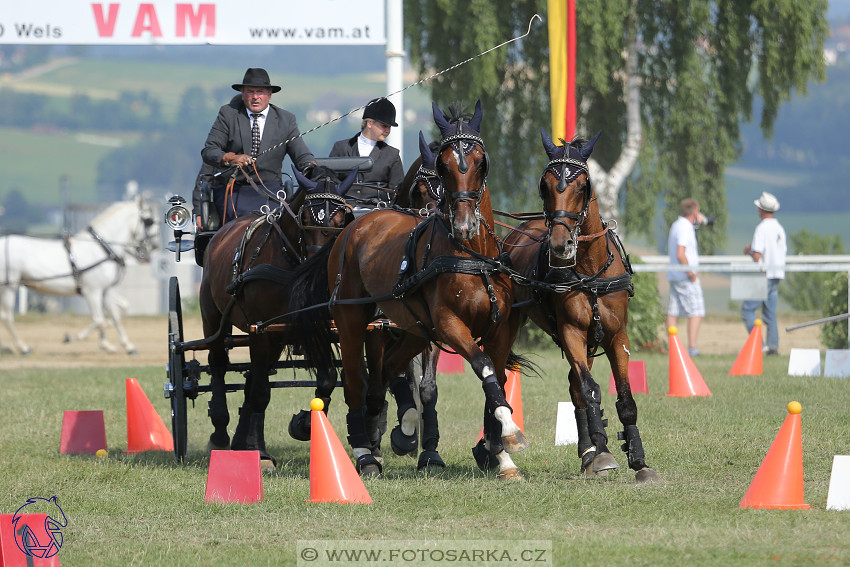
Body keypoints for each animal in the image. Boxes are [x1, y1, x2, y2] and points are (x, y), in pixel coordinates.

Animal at [0, 195, 158, 356]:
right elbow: (99, 319)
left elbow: (116, 315)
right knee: (7, 317)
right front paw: (71, 337)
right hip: (9, 287)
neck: (101, 249)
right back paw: (23, 347)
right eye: (149, 221)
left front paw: (124, 345)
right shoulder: (92, 291)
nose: (155, 246)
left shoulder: (105, 291)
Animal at [199, 166, 354, 468]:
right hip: (214, 318)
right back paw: (221, 434)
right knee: (219, 365)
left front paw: (305, 424)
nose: (317, 262)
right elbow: (261, 392)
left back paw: (239, 442)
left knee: (251, 378)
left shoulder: (312, 326)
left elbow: (328, 378)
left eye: (341, 219)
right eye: (305, 218)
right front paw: (259, 452)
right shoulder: (261, 330)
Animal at [294, 102, 528, 480]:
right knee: (356, 381)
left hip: (414, 330)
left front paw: (500, 455)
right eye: (443, 167)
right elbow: (484, 369)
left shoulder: (499, 329)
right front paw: (510, 433)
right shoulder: (448, 325)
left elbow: (494, 383)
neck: (470, 255)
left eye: (481, 162)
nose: (464, 225)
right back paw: (365, 454)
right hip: (352, 320)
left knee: (383, 377)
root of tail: (356, 226)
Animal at [504, 130, 656, 484]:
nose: (561, 246)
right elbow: (591, 390)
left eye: (583, 184)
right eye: (544, 185)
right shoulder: (571, 330)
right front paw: (603, 454)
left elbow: (623, 398)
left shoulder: (617, 336)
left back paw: (588, 449)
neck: (591, 270)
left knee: (574, 388)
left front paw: (638, 460)